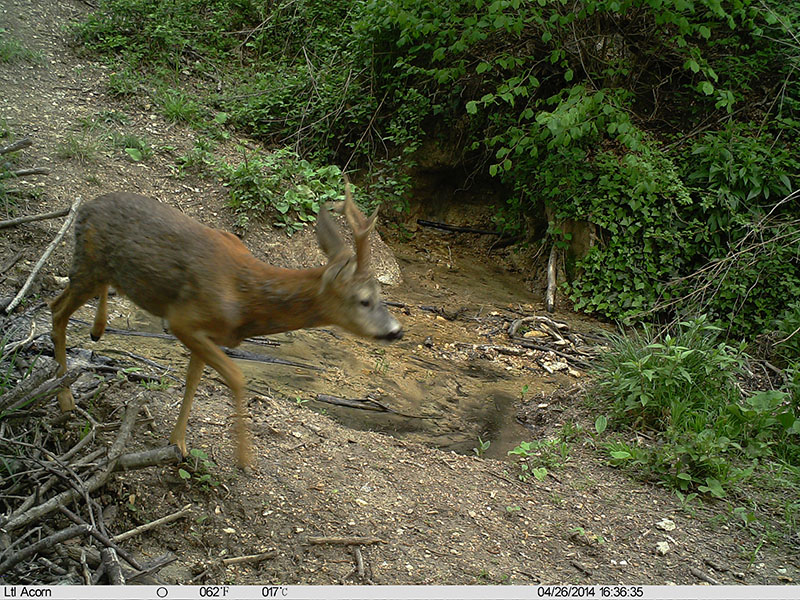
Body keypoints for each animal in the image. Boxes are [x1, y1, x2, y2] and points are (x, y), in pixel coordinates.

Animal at [50, 180, 404, 466]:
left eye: (380, 295)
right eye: (364, 300)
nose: (395, 331)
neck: (245, 301)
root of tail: (84, 207)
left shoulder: (209, 333)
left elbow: (193, 379)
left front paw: (178, 442)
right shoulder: (183, 319)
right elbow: (236, 376)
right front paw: (244, 458)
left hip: (100, 271)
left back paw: (97, 329)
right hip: (88, 264)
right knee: (55, 309)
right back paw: (65, 398)